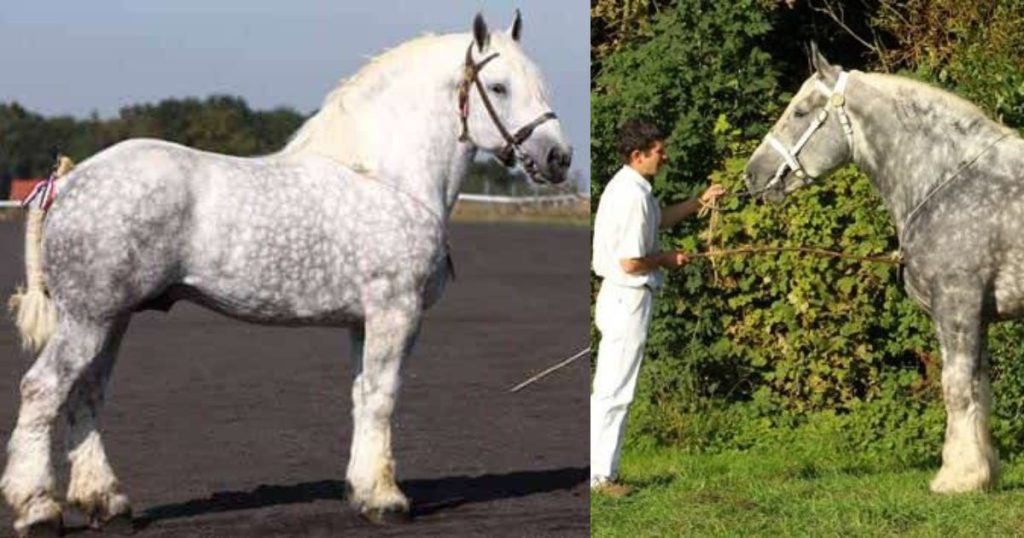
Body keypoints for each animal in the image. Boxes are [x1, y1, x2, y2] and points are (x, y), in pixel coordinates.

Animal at [1, 12, 572, 536]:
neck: (387, 177)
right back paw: (38, 509)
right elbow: (383, 396)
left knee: (86, 394)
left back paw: (108, 503)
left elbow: (362, 396)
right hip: (88, 319)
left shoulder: (362, 321)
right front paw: (388, 500)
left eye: (539, 80)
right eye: (498, 86)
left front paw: (362, 491)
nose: (558, 157)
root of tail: (70, 181)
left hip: (112, 319)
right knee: (43, 390)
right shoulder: (395, 313)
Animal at [744, 43, 1024, 494]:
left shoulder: (958, 304)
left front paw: (957, 477)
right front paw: (983, 472)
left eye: (800, 112)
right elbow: (979, 389)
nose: (753, 175)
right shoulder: (976, 316)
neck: (948, 179)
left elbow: (956, 387)